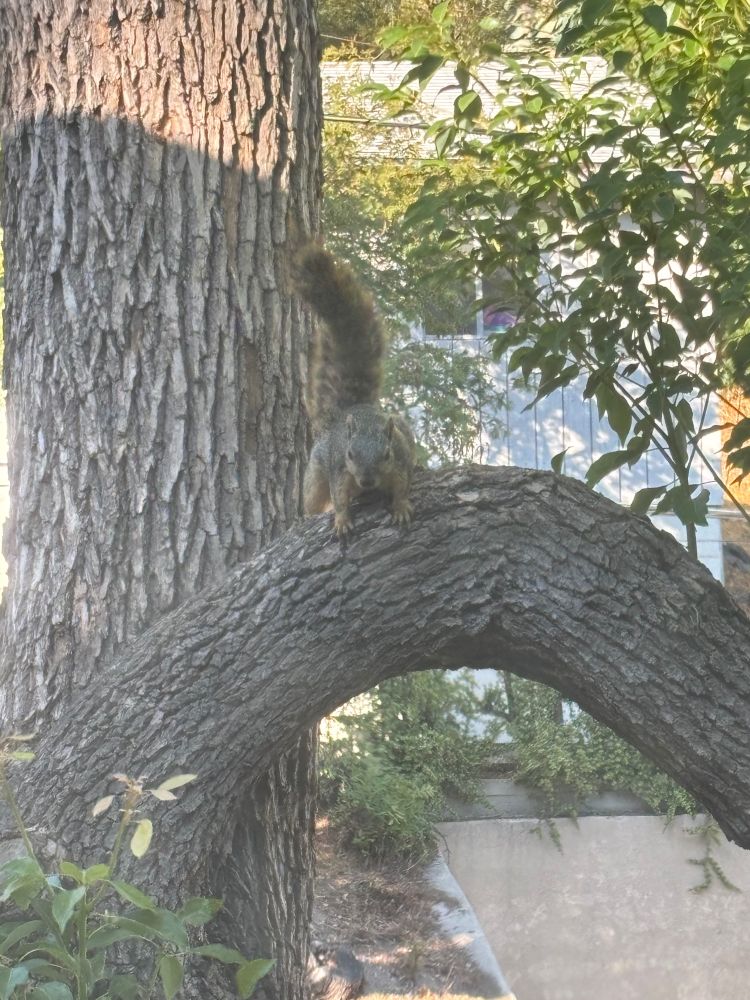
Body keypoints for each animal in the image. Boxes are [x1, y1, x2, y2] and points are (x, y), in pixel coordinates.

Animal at [294, 245, 415, 538]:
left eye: (386, 454)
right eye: (350, 454)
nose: (367, 481)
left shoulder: (401, 461)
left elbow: (402, 487)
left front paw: (401, 506)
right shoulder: (339, 469)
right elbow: (338, 497)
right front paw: (341, 520)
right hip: (317, 471)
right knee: (314, 497)